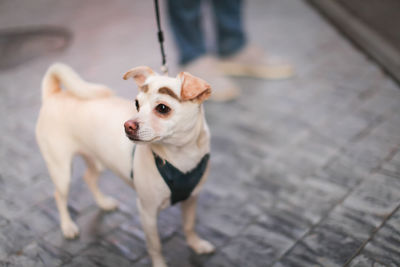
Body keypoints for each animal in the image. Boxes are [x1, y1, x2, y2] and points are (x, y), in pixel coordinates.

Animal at [34, 63, 216, 267]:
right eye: (137, 104)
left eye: (162, 108)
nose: (128, 125)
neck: (181, 155)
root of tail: (54, 94)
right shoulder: (147, 211)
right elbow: (155, 245)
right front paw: (160, 264)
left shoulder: (192, 199)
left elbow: (189, 226)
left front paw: (196, 245)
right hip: (62, 172)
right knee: (59, 196)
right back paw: (68, 227)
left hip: (97, 160)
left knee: (89, 178)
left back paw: (104, 203)